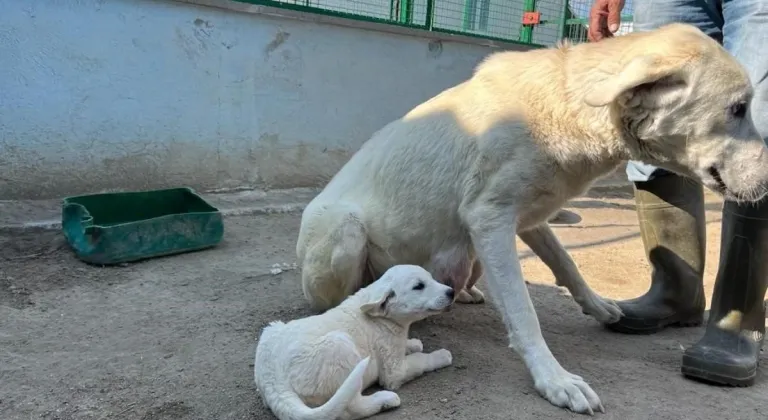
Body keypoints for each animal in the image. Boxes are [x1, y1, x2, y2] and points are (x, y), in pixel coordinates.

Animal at [252, 266, 456, 420]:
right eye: (419, 286)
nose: (452, 292)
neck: (382, 317)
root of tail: (273, 381)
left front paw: (413, 343)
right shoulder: (394, 371)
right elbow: (420, 360)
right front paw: (441, 356)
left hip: (272, 329)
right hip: (340, 345)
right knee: (351, 408)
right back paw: (385, 400)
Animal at [292, 23, 768, 414]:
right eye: (738, 108)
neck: (570, 107)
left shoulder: (527, 218)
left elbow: (566, 261)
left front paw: (598, 306)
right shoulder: (490, 219)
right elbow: (524, 313)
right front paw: (555, 380)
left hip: (470, 255)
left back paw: (465, 293)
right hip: (346, 232)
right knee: (339, 298)